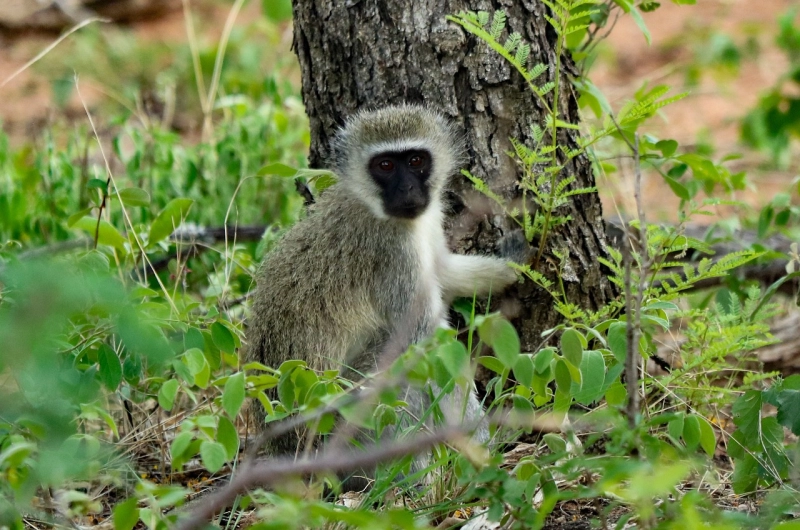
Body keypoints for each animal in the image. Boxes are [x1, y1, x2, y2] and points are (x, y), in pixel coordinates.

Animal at [246, 103, 521, 486]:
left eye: (416, 160)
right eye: (385, 165)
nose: (407, 190)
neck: (372, 206)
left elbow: (444, 272)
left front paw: (512, 265)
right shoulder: (393, 253)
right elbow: (426, 343)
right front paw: (482, 443)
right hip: (343, 433)